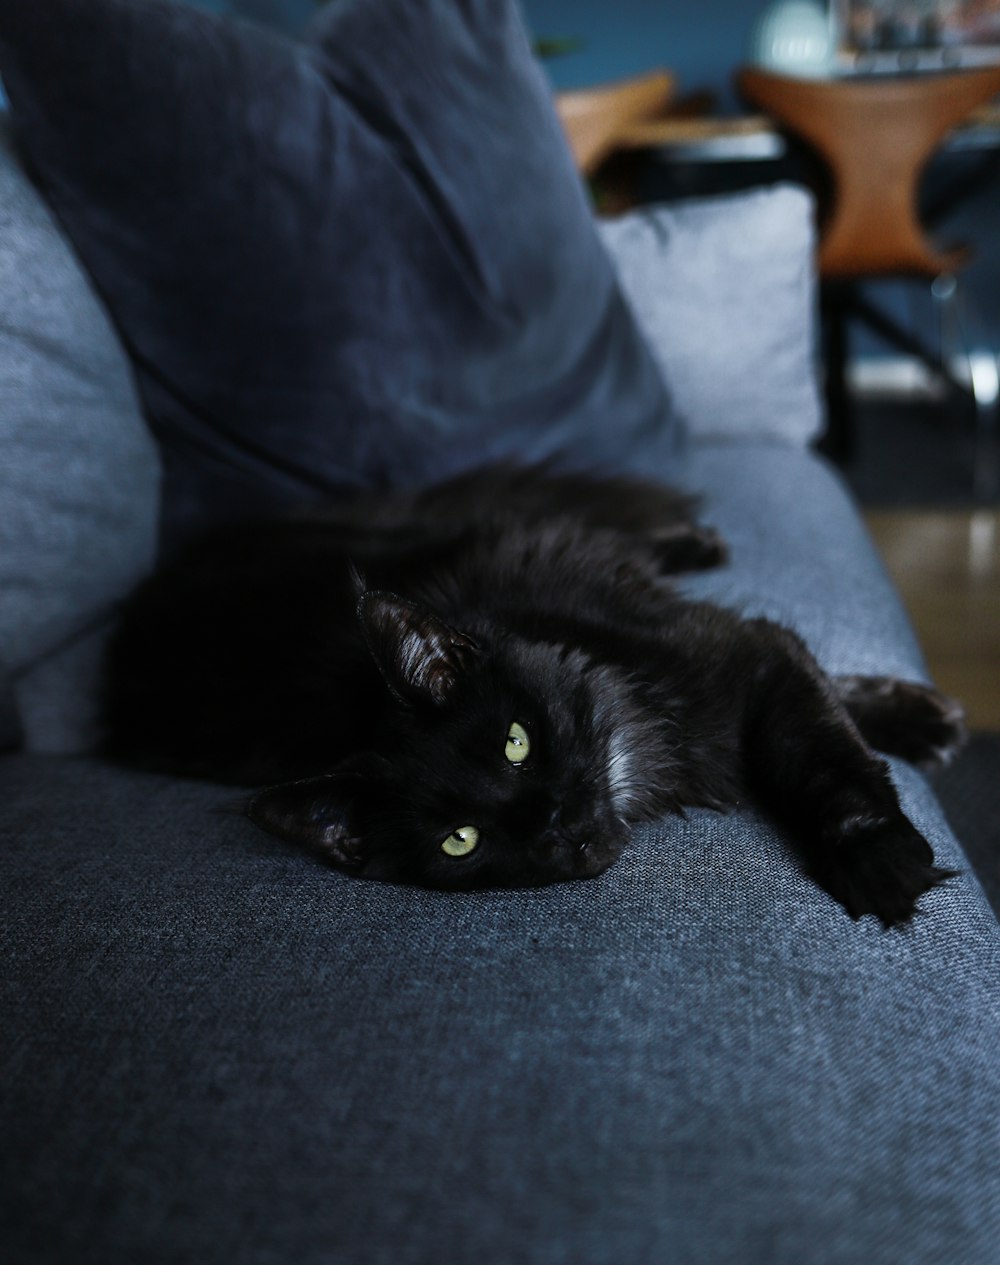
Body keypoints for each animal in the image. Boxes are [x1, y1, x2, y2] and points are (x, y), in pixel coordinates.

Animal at [99, 470, 960, 925]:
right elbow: (821, 713)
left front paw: (879, 851)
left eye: (517, 740)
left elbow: (820, 746)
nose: (555, 824)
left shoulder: (744, 650)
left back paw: (695, 542)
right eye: (461, 841)